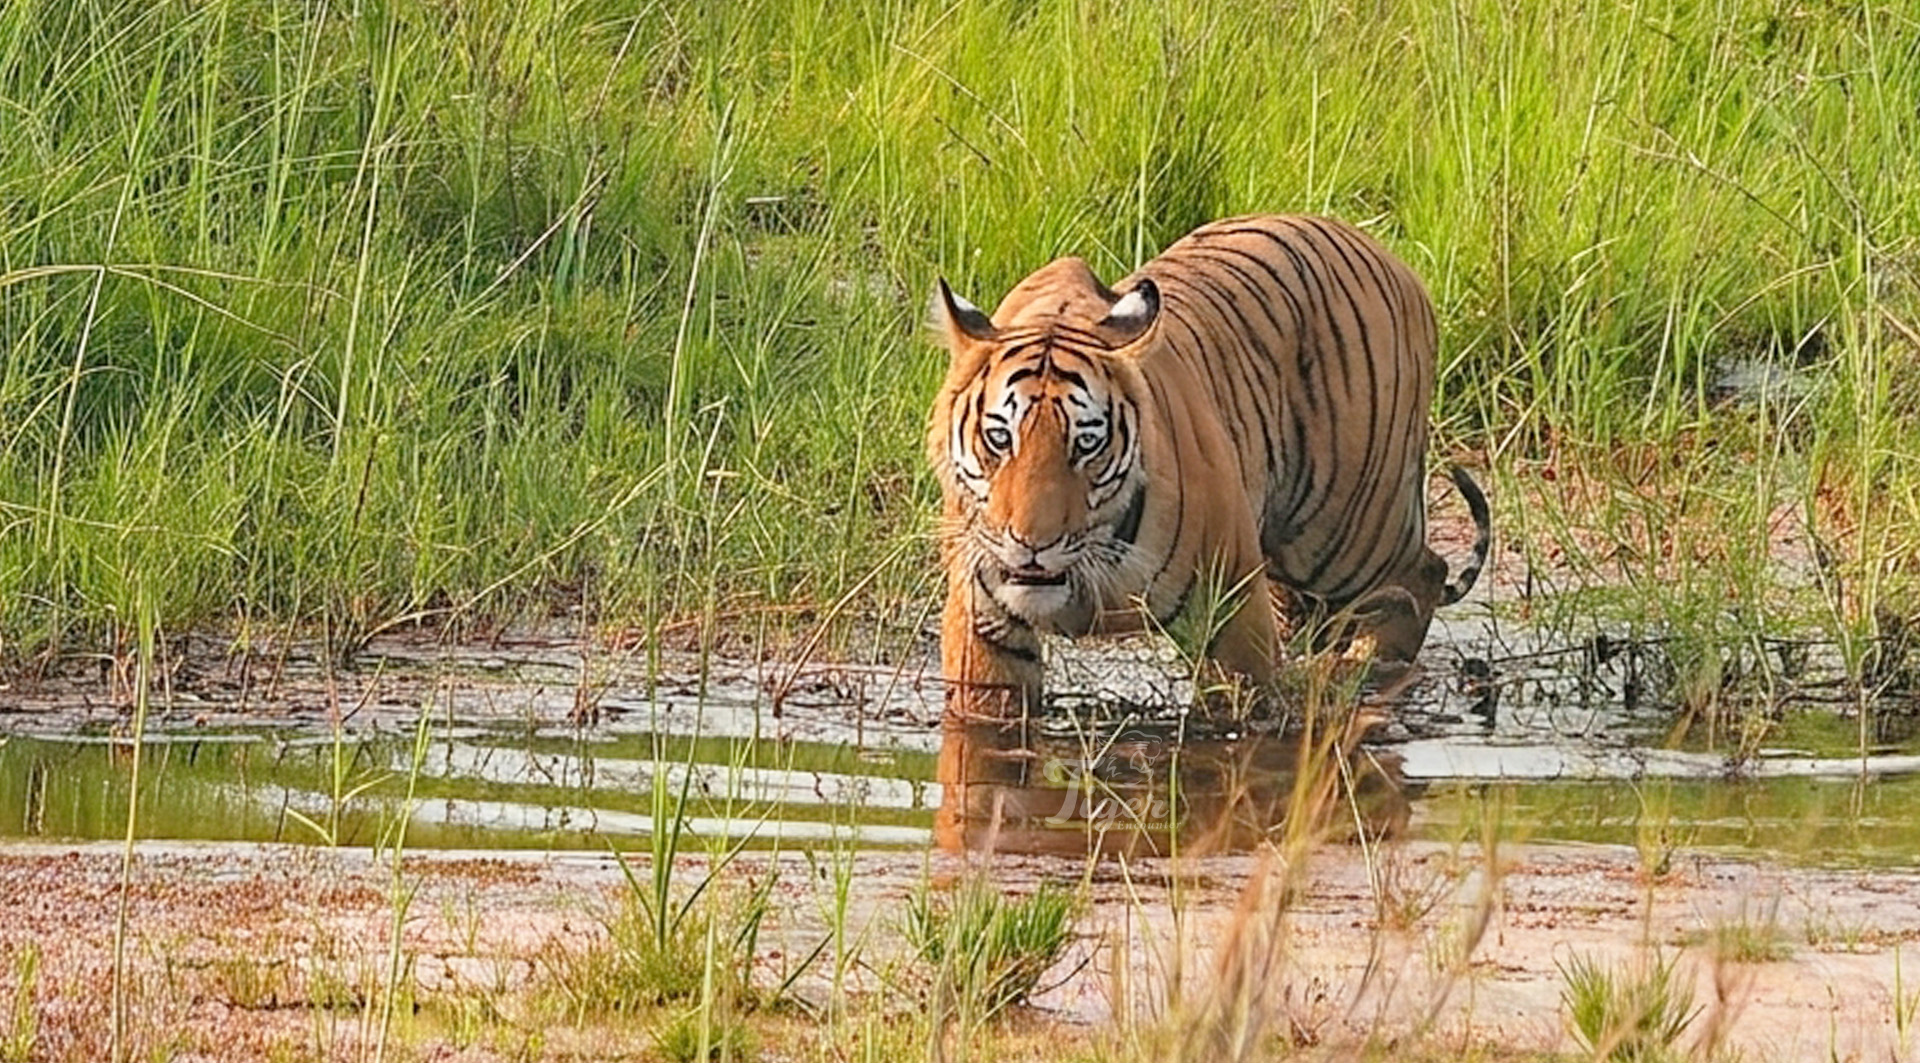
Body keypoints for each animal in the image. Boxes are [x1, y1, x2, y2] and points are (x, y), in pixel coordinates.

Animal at [926, 213, 1491, 716]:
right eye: (1000, 438)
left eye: (1086, 445)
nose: (1032, 547)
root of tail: (1397, 263)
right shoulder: (985, 621)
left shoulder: (1233, 611)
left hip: (1345, 531)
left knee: (1423, 573)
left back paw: (1370, 668)